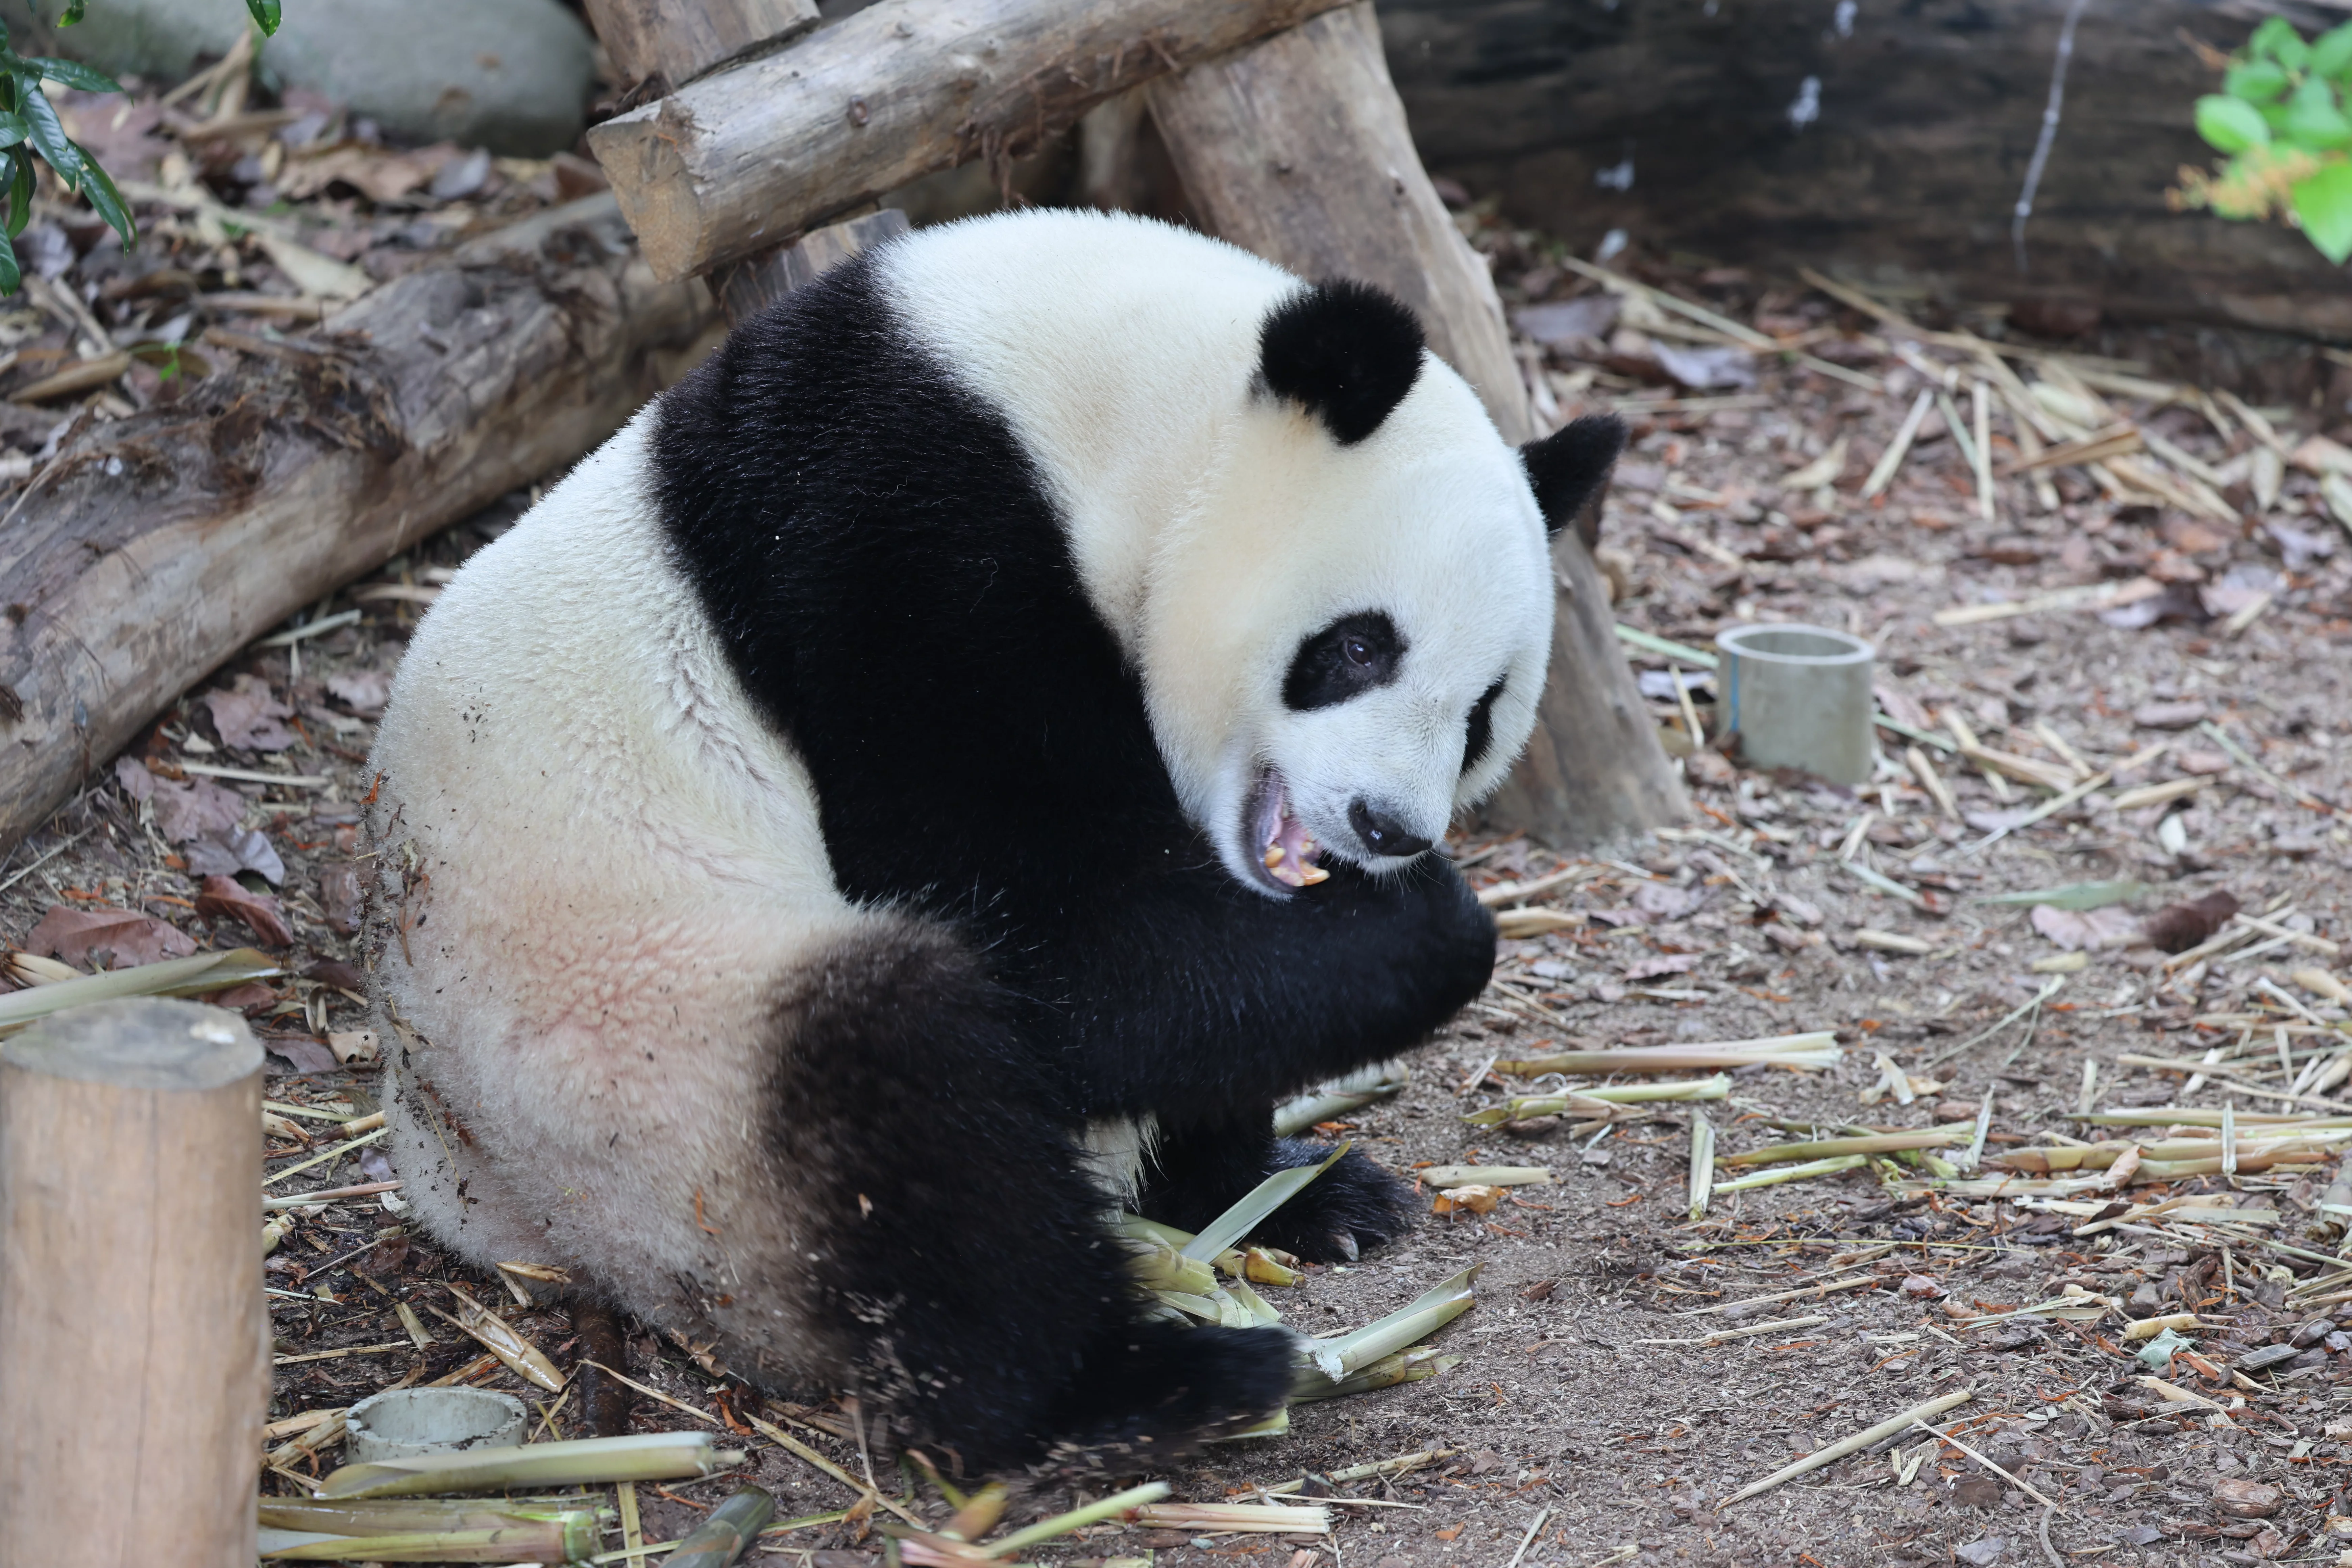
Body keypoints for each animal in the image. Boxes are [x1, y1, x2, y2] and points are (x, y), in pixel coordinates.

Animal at [363, 207, 1623, 1473]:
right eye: (1360, 647)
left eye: (1483, 714)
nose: (1388, 828)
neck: (1112, 415)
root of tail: (475, 1205)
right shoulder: (893, 550)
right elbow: (1043, 933)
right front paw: (1435, 929)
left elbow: (1190, 984)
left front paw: (1282, 1182)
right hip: (647, 1069)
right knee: (914, 1124)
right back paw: (1138, 1384)